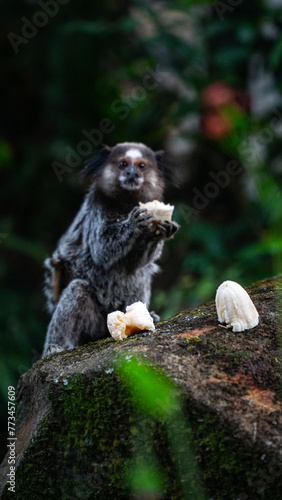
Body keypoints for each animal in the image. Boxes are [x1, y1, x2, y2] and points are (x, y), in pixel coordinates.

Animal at [43, 143, 180, 358]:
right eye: (123, 164)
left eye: (141, 166)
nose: (131, 173)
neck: (126, 203)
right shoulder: (97, 211)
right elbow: (101, 250)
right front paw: (133, 224)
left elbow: (135, 264)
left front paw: (159, 232)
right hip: (93, 324)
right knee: (76, 290)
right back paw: (54, 347)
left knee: (141, 275)